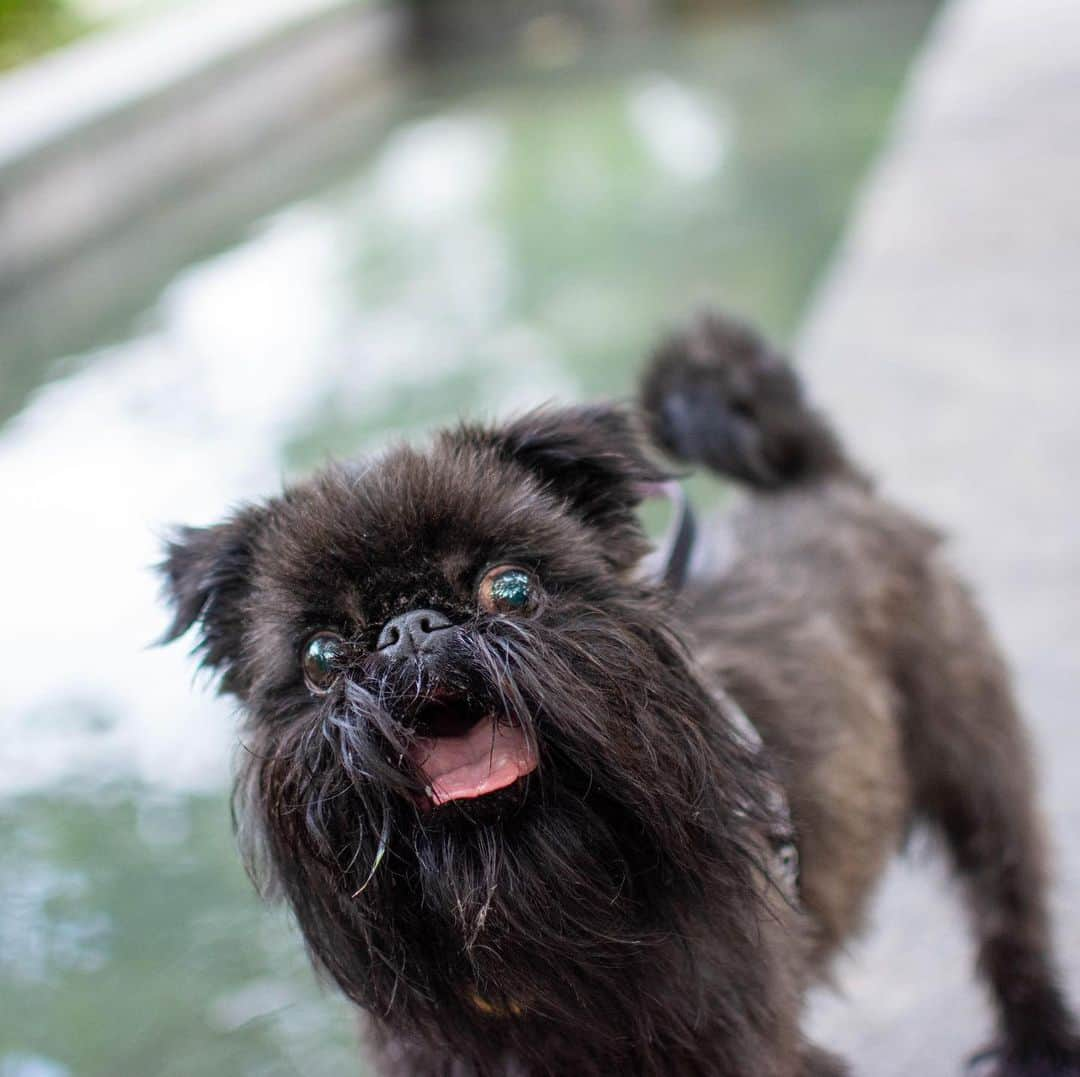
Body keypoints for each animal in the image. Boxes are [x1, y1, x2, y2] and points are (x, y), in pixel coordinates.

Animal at [159, 313, 1080, 1075]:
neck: (533, 920)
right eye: (321, 655)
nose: (413, 629)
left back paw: (1037, 1037)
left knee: (1008, 903)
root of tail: (819, 480)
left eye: (512, 588)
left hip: (971, 758)